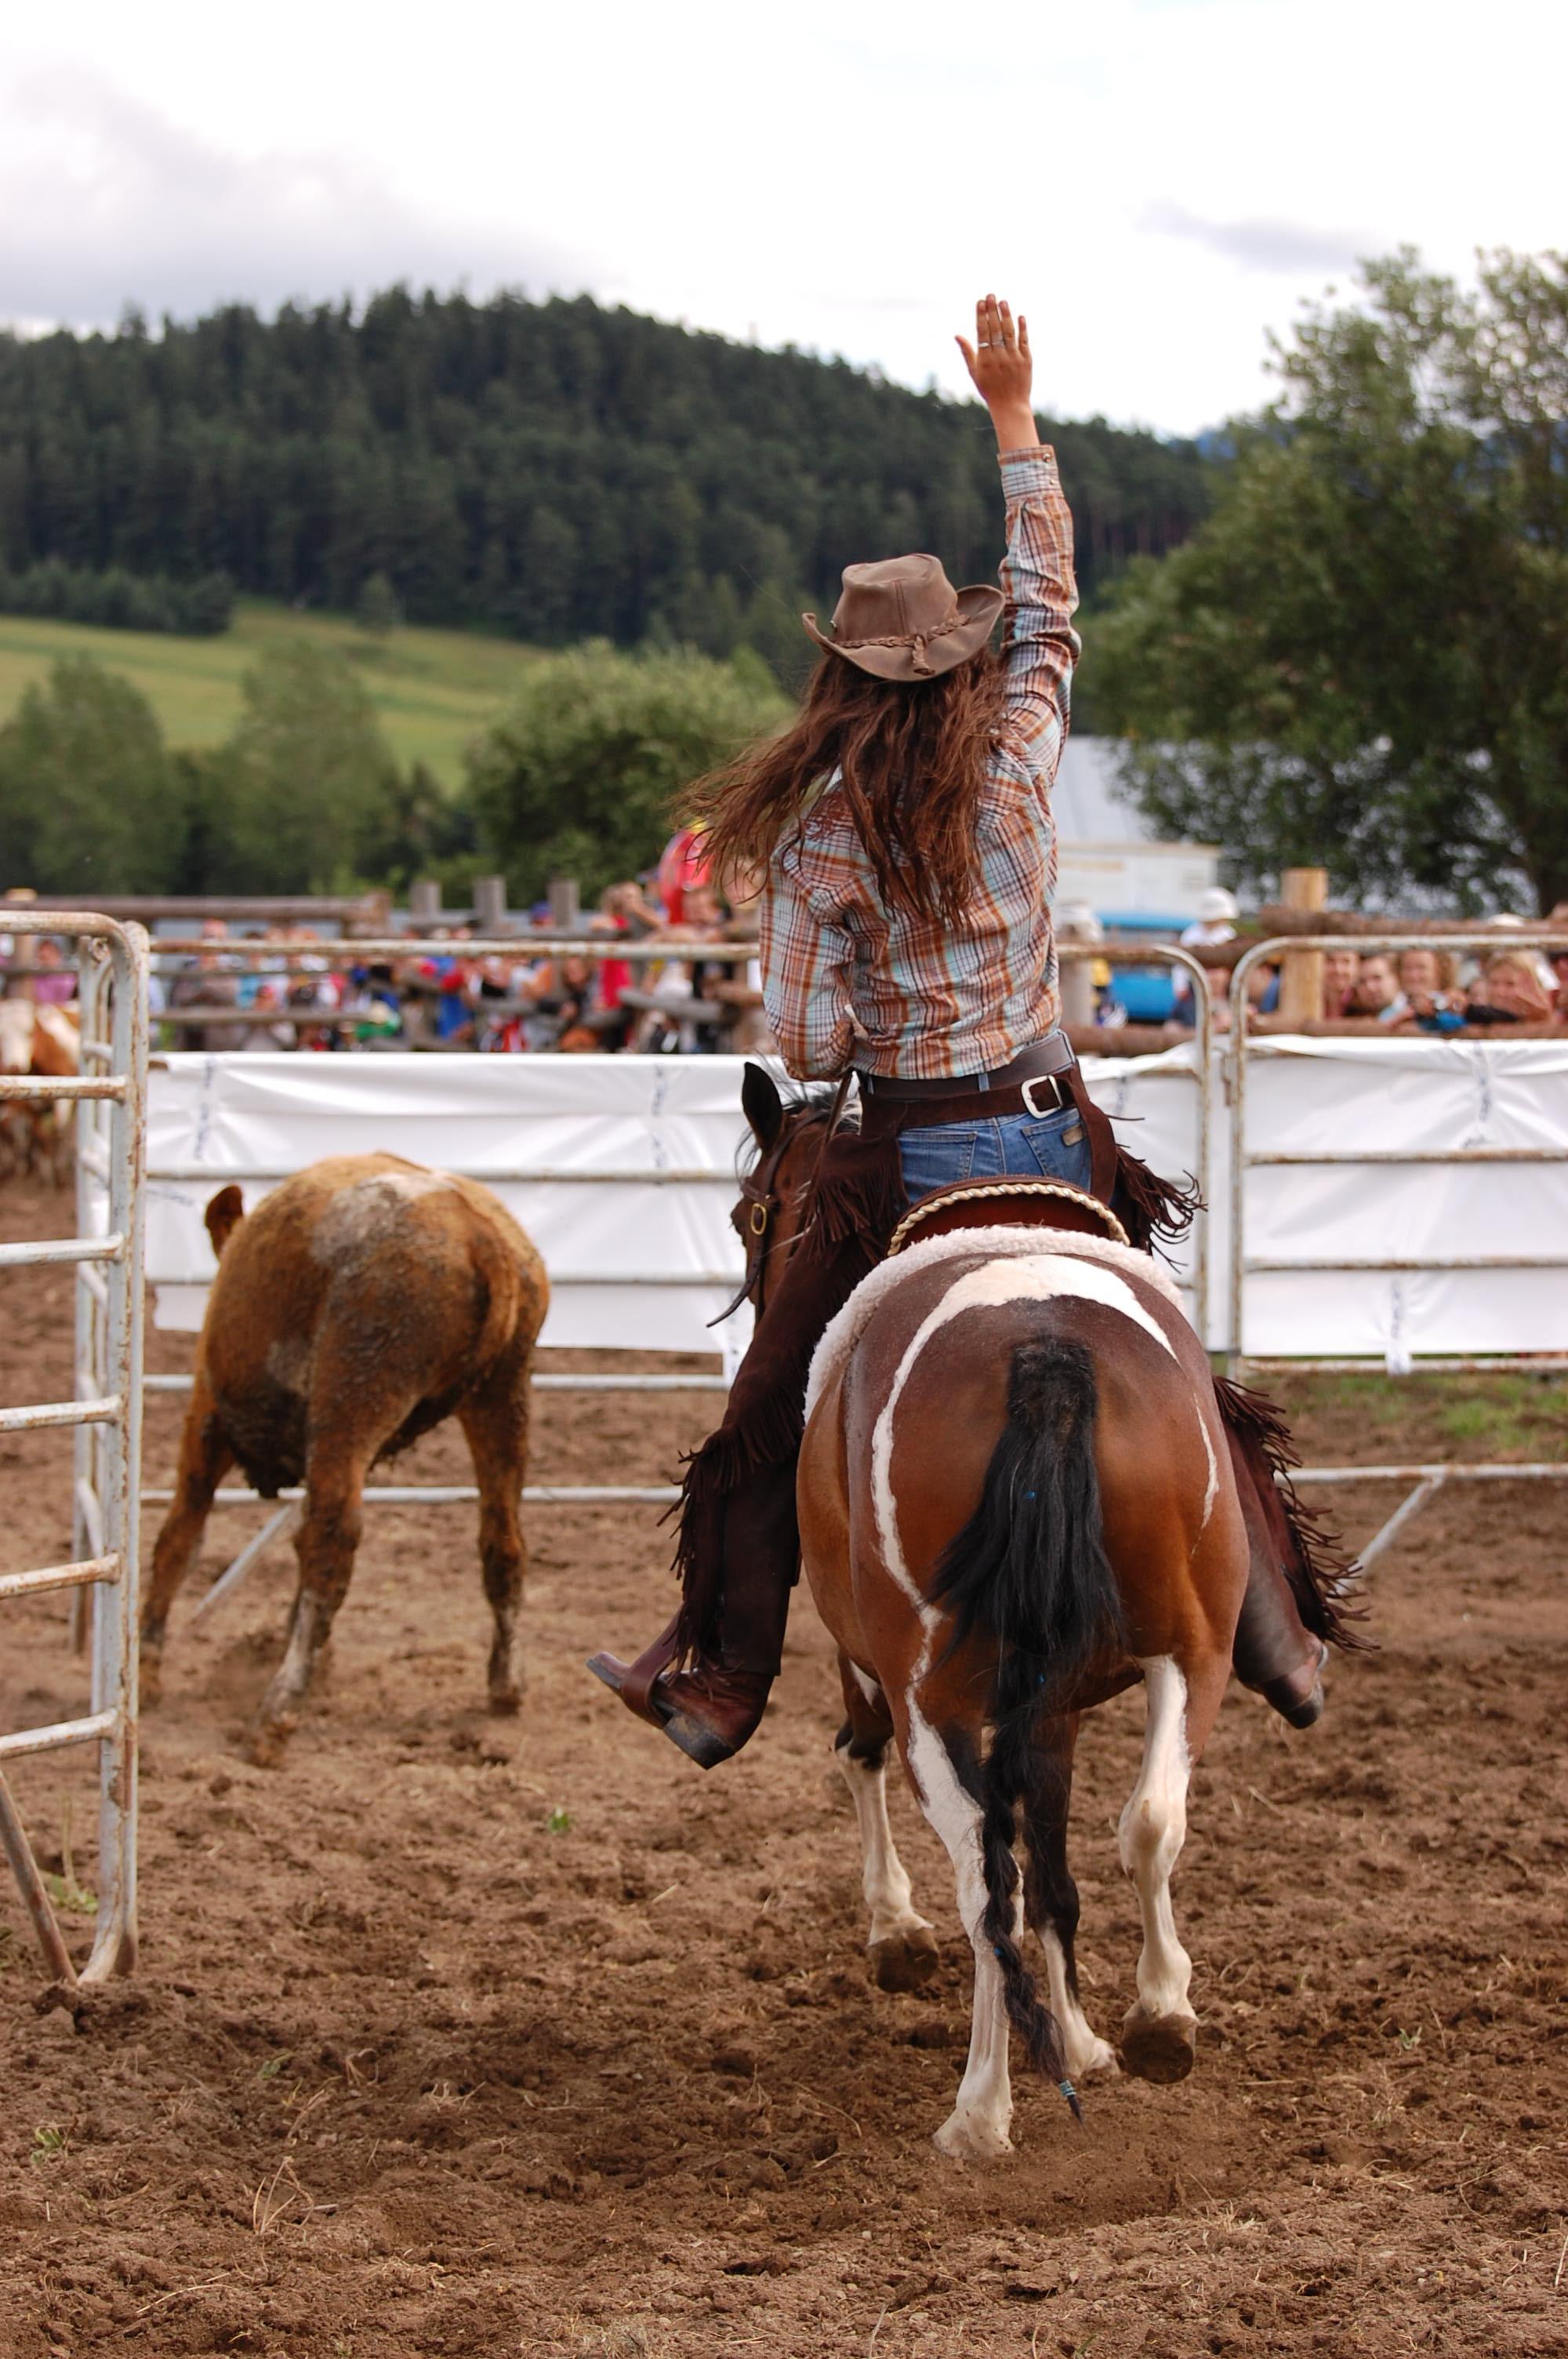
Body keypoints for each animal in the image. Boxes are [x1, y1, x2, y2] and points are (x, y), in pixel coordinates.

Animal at [144, 1150, 549, 1764]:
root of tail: (480, 1236)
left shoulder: (206, 1420)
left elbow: (178, 1539)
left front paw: (145, 1670)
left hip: (354, 1397)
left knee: (332, 1541)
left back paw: (277, 1711)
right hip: (501, 1395)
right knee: (503, 1542)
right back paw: (506, 1685)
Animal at [726, 1070, 1348, 2161]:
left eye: (752, 1211)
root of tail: (1042, 1353)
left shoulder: (876, 1667)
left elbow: (869, 1761)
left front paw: (899, 1935)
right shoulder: (1052, 1699)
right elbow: (1058, 1854)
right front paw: (1085, 2037)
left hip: (930, 1692)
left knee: (985, 1873)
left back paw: (981, 2106)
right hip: (1189, 1649)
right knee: (1145, 1821)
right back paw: (1158, 2022)